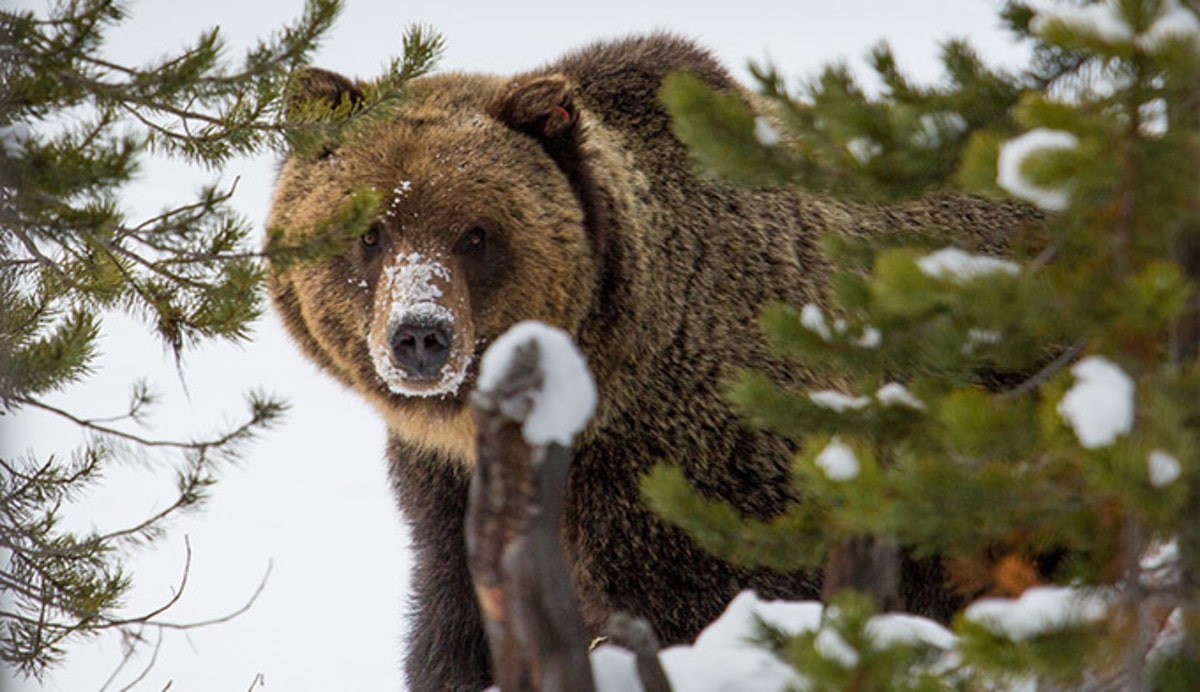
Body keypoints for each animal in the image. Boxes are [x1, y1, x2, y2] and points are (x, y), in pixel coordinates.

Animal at [267, 33, 1036, 690]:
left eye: (476, 234)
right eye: (370, 232)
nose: (420, 334)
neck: (587, 393)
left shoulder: (692, 472)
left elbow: (695, 606)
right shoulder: (448, 490)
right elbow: (454, 625)